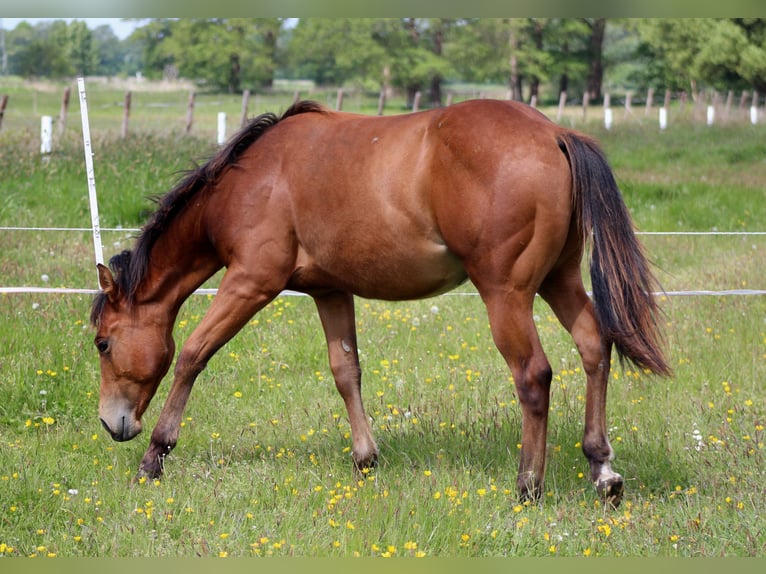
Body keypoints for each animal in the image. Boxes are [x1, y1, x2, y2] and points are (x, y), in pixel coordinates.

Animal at [90, 98, 670, 506]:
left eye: (102, 343)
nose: (112, 424)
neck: (254, 177)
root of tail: (554, 134)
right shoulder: (329, 290)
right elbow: (346, 370)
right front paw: (365, 460)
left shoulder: (250, 283)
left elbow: (192, 355)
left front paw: (155, 455)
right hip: (560, 280)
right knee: (594, 346)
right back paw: (602, 470)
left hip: (506, 295)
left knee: (533, 375)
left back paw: (528, 486)